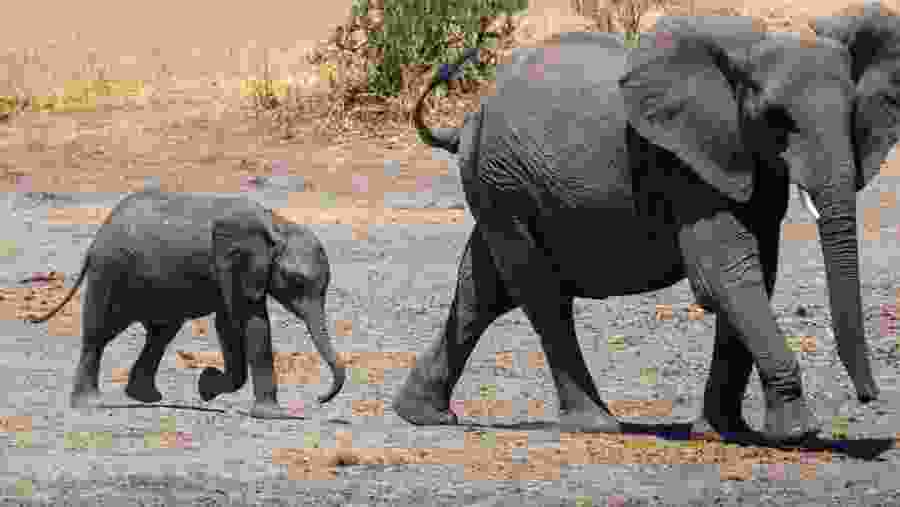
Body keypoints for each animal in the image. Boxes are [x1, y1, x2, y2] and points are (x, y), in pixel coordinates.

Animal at [26, 189, 346, 419]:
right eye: (296, 280)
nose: (319, 398)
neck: (278, 225)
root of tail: (95, 240)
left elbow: (229, 324)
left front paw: (207, 387)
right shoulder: (234, 265)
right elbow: (249, 322)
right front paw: (271, 415)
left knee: (161, 333)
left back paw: (145, 398)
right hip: (109, 273)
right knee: (99, 334)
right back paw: (91, 405)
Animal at [393, 7, 900, 446]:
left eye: (853, 115)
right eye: (777, 120)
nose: (869, 397)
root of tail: (468, 119)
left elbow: (756, 274)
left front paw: (725, 433)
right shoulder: (684, 162)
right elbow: (724, 276)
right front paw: (796, 433)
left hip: (496, 183)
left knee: (481, 290)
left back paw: (421, 414)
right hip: (503, 180)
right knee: (540, 293)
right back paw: (595, 425)